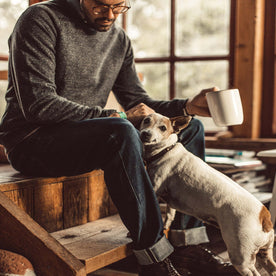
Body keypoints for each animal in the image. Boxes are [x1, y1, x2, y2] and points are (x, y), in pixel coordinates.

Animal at [139, 112, 276, 276]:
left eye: (163, 128)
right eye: (146, 120)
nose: (145, 134)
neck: (166, 149)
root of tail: (264, 215)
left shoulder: (154, 187)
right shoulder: (170, 201)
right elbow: (170, 215)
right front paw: (166, 224)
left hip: (241, 259)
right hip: (264, 254)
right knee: (272, 267)